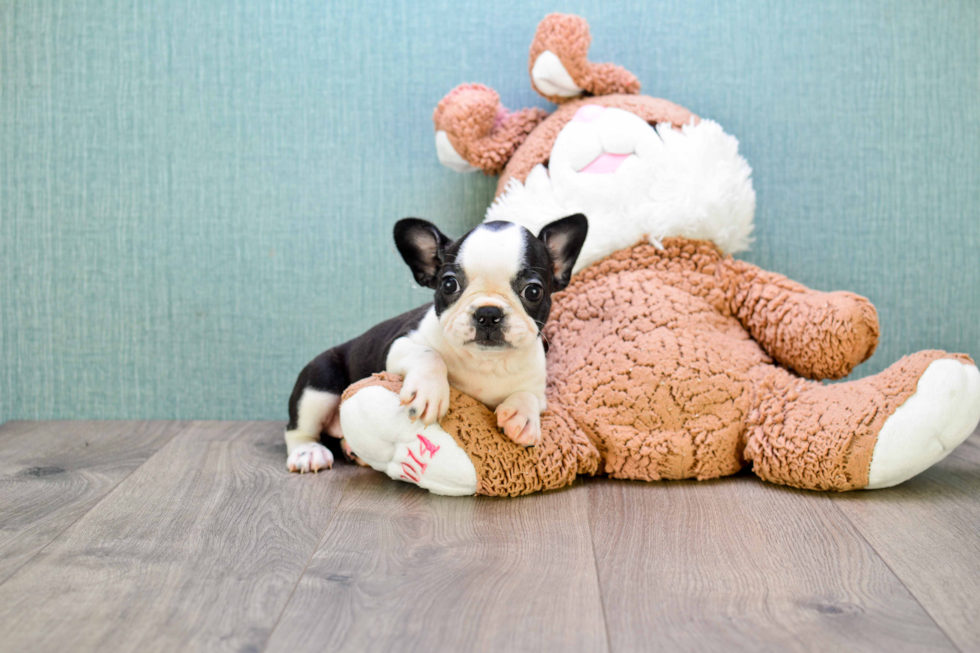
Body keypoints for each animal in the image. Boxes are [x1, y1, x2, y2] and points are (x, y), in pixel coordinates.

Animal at [286, 214, 588, 474]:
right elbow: (429, 354)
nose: (488, 313)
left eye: (533, 291)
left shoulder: (537, 385)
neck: (485, 362)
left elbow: (528, 396)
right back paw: (308, 452)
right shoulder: (399, 343)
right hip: (319, 384)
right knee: (298, 428)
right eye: (449, 284)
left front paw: (522, 417)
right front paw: (428, 391)